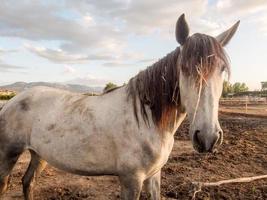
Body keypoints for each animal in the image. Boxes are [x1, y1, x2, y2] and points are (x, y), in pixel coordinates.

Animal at [0, 14, 241, 200]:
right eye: (184, 68)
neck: (147, 119)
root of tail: (11, 101)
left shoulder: (154, 175)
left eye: (221, 69)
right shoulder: (131, 180)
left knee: (28, 182)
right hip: (8, 154)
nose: (208, 138)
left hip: (38, 154)